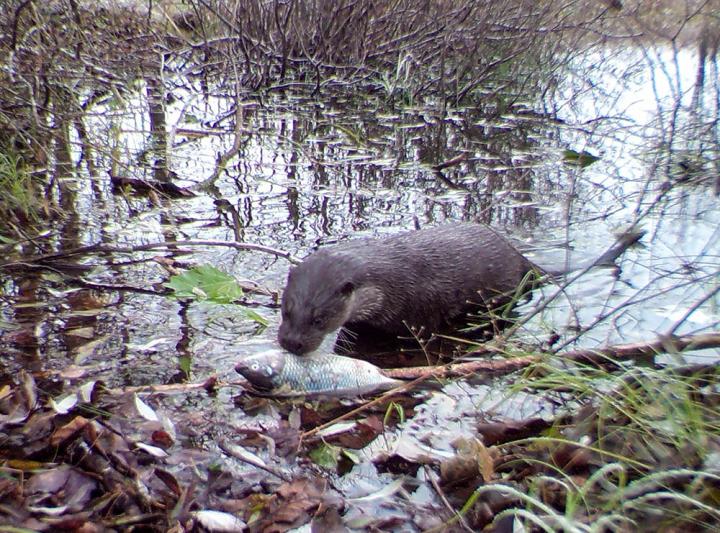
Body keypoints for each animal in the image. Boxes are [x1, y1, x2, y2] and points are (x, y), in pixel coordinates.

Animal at [277, 223, 538, 355]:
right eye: (286, 312)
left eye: (319, 320)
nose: (291, 342)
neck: (390, 283)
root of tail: (518, 255)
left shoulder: (421, 314)